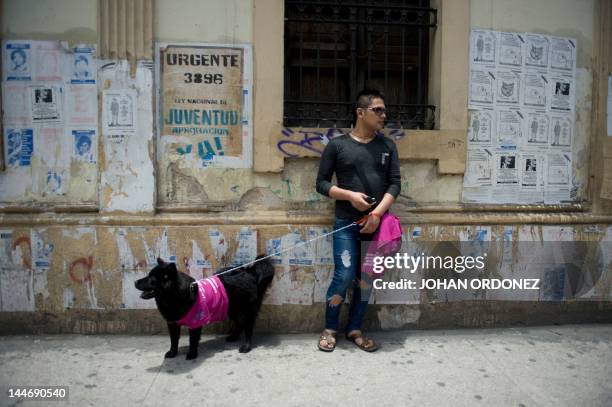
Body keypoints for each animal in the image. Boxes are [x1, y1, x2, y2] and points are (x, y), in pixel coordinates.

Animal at [137, 258, 276, 360]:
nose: (135, 282)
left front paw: (192, 354)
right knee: (239, 324)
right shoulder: (172, 323)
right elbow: (174, 340)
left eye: (151, 279)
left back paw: (246, 346)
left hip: (245, 311)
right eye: (148, 276)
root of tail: (249, 272)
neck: (176, 295)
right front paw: (173, 353)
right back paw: (233, 337)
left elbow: (193, 340)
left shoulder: (195, 322)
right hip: (232, 309)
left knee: (247, 329)